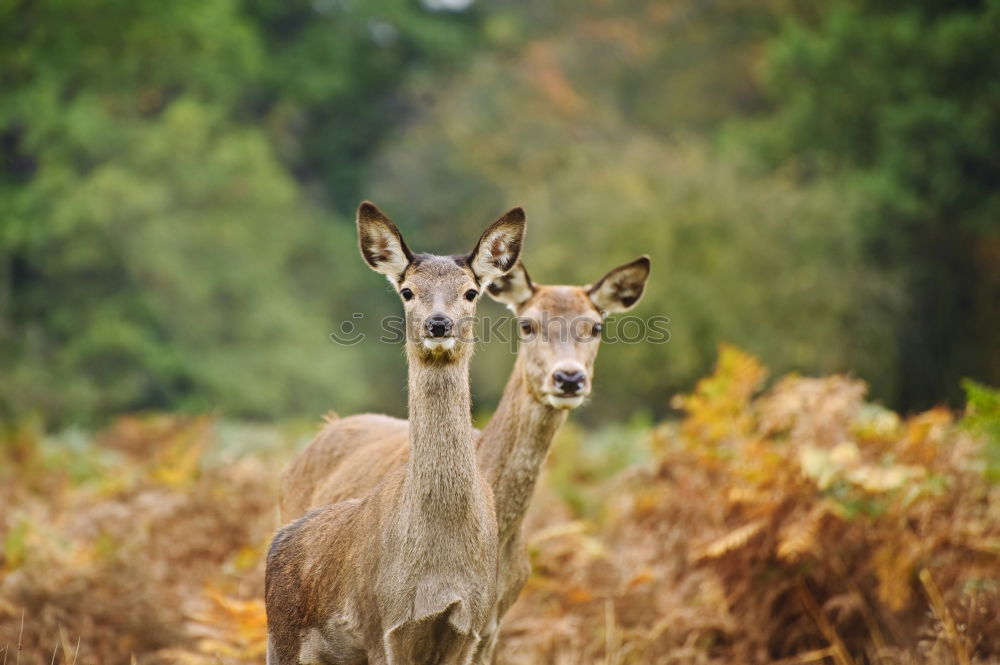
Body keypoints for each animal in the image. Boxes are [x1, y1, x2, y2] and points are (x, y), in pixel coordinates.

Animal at [266, 201, 532, 664]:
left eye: (471, 291)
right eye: (407, 291)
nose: (438, 324)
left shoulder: (473, 627)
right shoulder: (383, 625)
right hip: (281, 639)